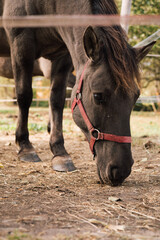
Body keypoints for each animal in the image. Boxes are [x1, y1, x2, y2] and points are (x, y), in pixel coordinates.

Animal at [0, 0, 155, 186]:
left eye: (136, 97)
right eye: (97, 96)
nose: (120, 170)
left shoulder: (63, 56)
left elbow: (57, 100)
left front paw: (60, 152)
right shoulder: (21, 45)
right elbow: (24, 96)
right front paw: (25, 146)